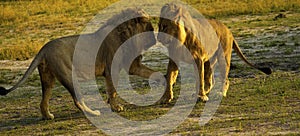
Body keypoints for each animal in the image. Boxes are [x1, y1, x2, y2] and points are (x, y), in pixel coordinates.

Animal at [0, 8, 158, 119]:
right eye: (149, 28)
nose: (155, 40)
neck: (126, 34)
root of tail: (43, 49)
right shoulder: (110, 70)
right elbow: (112, 90)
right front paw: (116, 107)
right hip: (68, 74)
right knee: (77, 100)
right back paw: (94, 113)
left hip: (48, 78)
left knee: (43, 101)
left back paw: (48, 116)